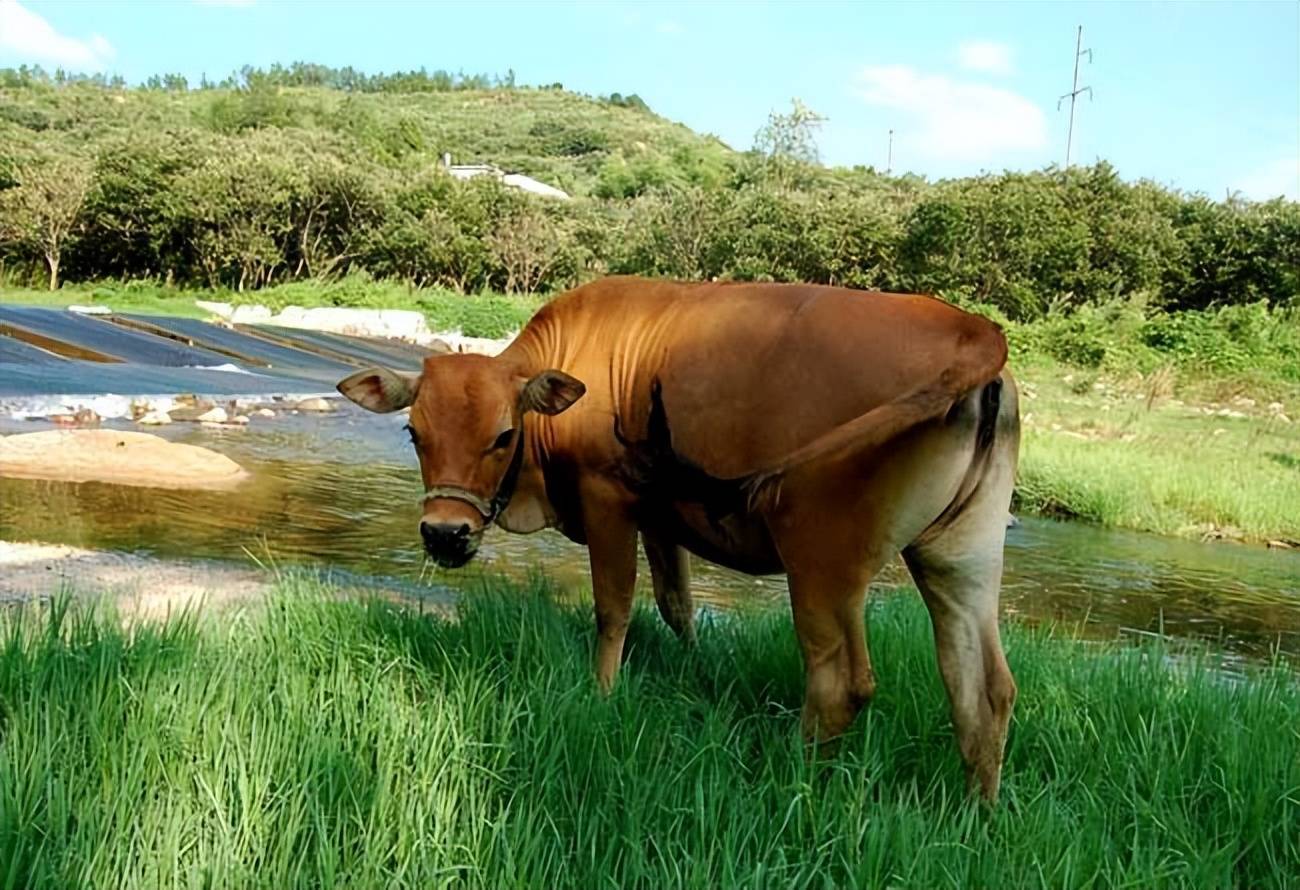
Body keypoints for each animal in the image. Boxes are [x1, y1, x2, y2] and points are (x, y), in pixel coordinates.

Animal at [340, 274, 1019, 800]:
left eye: (502, 436)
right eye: (413, 432)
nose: (444, 533)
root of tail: (969, 327)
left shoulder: (608, 499)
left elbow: (614, 607)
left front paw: (602, 694)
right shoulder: (659, 519)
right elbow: (677, 606)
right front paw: (694, 671)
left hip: (820, 556)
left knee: (841, 684)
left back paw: (790, 779)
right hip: (960, 559)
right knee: (984, 689)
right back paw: (974, 815)